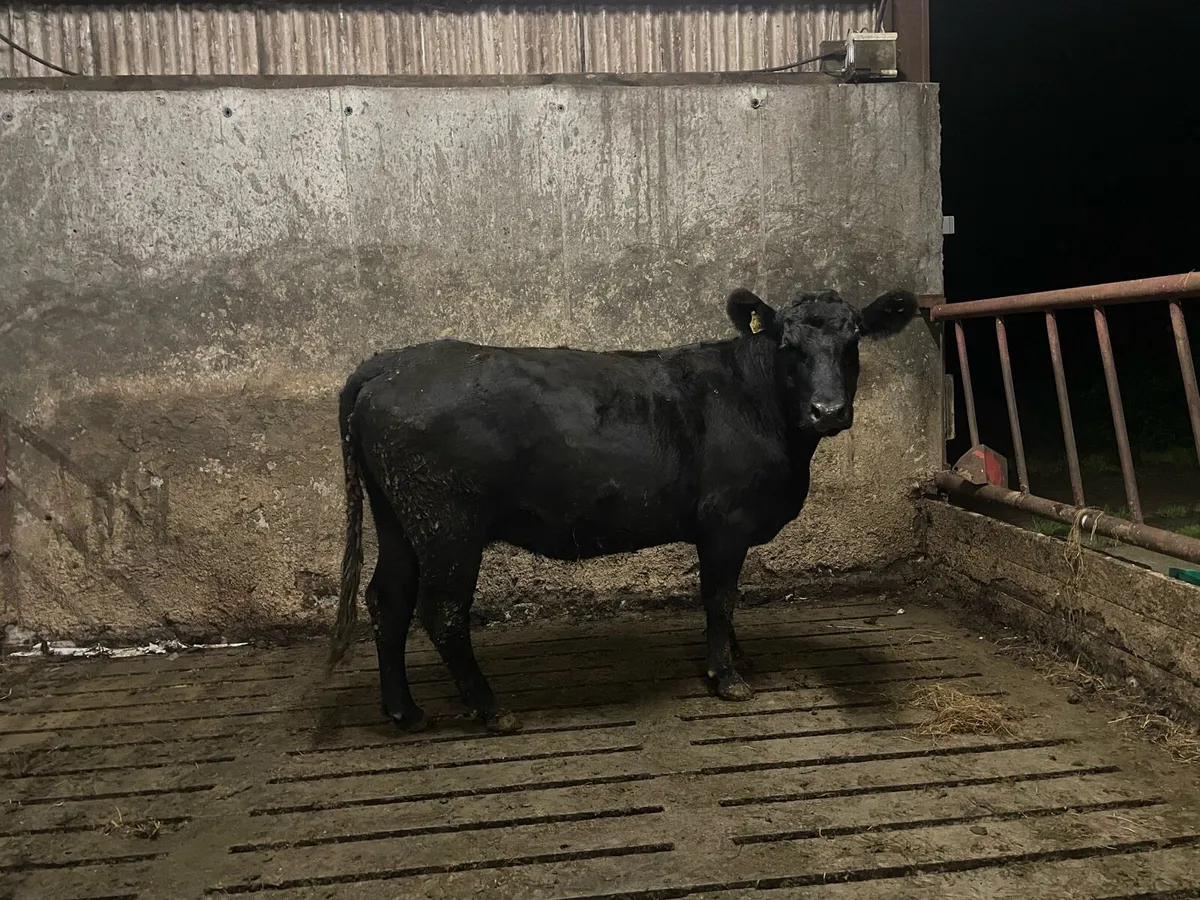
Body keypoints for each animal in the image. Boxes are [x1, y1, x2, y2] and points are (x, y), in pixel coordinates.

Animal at [327, 286, 919, 733]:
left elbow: (727, 602)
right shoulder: (725, 522)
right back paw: (490, 708)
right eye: (787, 344)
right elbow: (720, 598)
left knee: (387, 599)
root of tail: (390, 363)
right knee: (442, 612)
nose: (828, 411)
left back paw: (403, 710)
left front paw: (736, 656)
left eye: (854, 339)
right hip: (448, 527)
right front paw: (726, 677)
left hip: (401, 521)